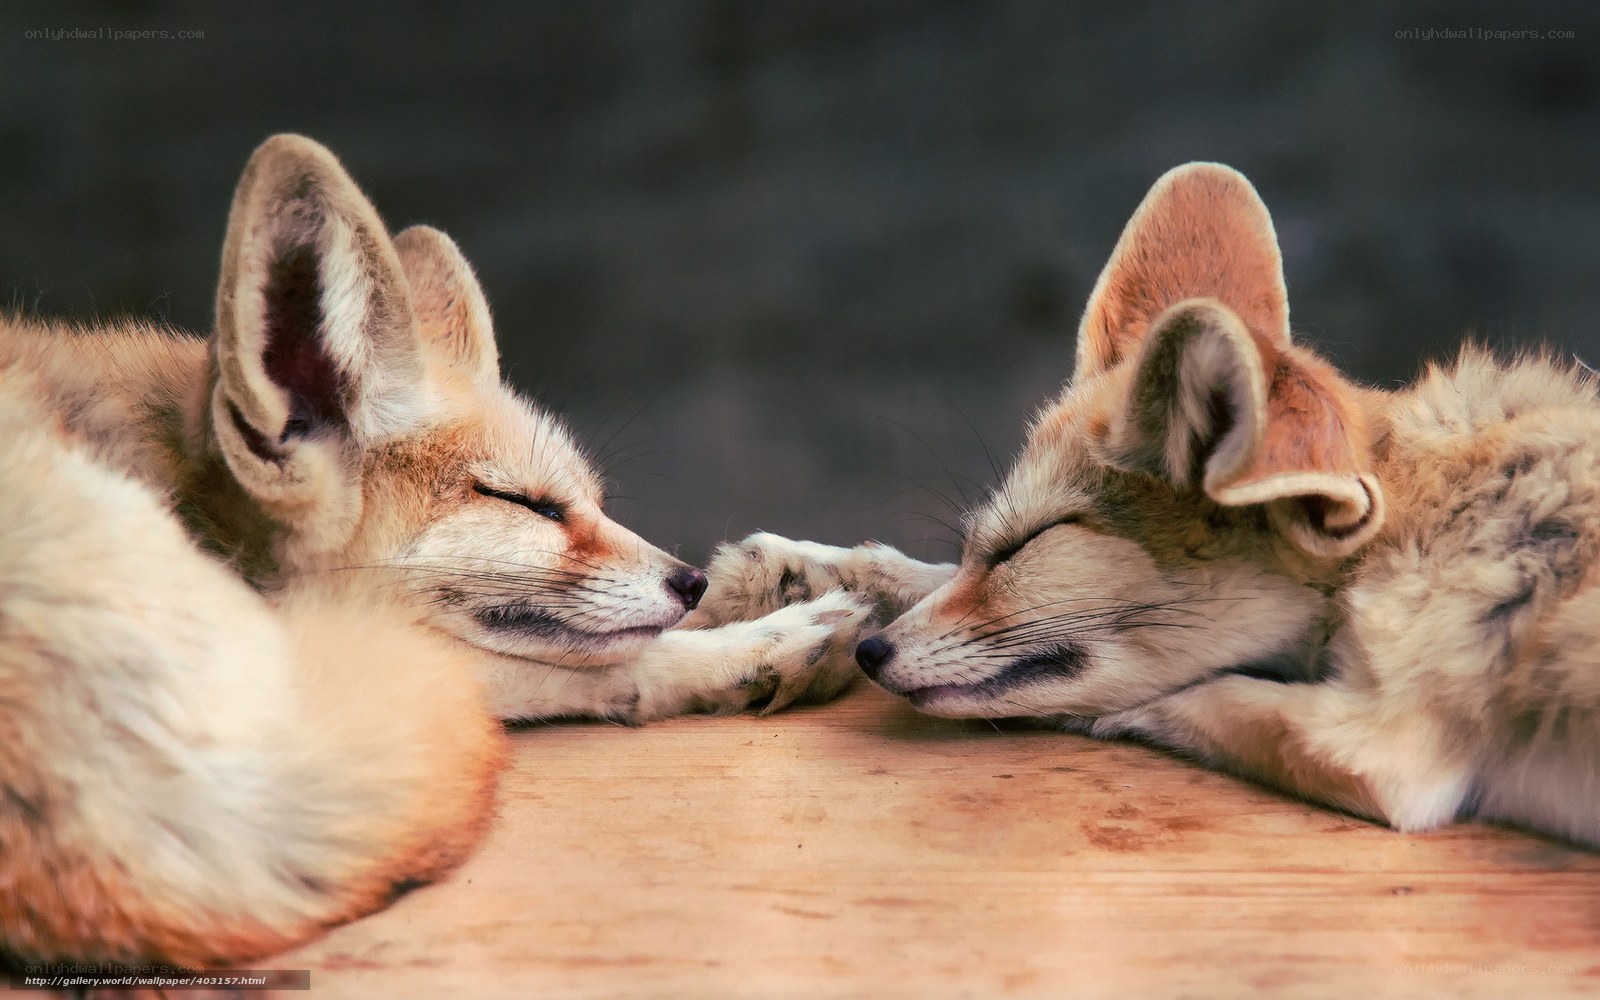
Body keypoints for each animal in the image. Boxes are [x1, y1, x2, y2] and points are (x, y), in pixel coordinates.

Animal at [0, 134, 873, 967]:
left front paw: (771, 580)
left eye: (591, 501)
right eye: (527, 503)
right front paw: (759, 641)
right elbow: (597, 660)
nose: (687, 581)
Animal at [695, 162, 1600, 849]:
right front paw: (798, 580)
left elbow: (1171, 698)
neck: (1419, 518)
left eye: (1030, 544)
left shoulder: (1385, 749)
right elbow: (922, 575)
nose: (873, 654)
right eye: (992, 541)